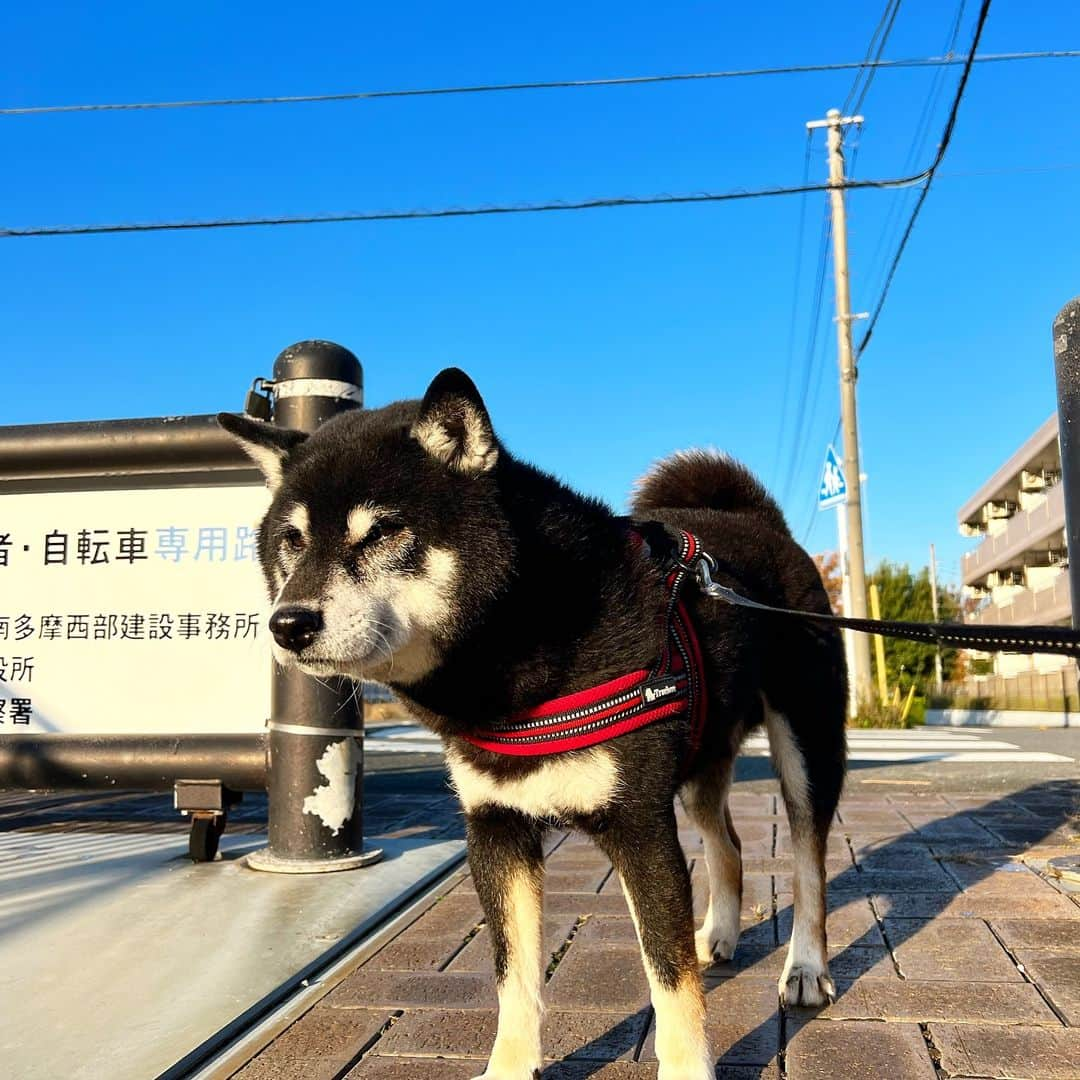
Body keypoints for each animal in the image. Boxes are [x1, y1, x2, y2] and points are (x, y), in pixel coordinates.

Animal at [221, 367, 842, 1075]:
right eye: (291, 540)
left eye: (379, 532)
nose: (287, 623)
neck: (519, 643)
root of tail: (759, 524)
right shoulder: (497, 828)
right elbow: (513, 979)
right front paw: (509, 1066)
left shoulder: (639, 826)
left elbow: (670, 981)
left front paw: (686, 1069)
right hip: (699, 759)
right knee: (730, 845)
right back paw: (719, 934)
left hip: (806, 748)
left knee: (809, 862)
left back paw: (805, 968)